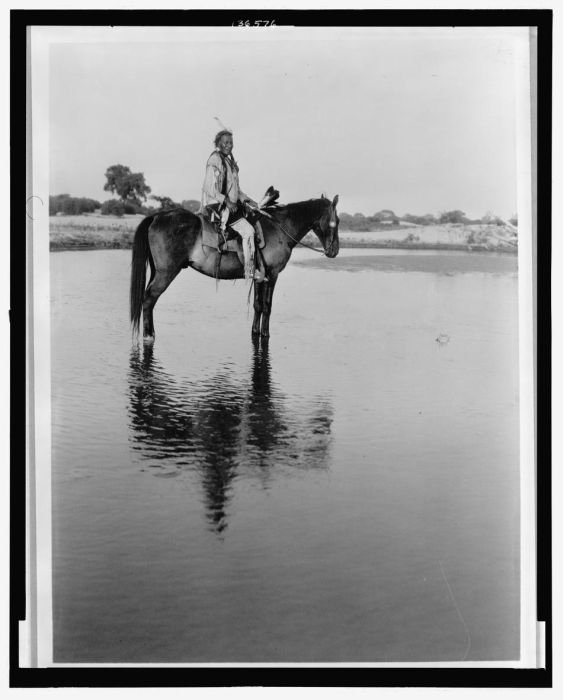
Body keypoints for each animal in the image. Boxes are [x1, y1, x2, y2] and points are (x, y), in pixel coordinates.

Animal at [130, 194, 342, 342]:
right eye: (336, 221)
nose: (334, 251)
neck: (280, 228)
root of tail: (156, 217)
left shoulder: (260, 276)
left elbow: (258, 305)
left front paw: (255, 332)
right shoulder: (272, 275)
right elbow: (267, 306)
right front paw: (266, 334)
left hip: (157, 271)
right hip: (166, 273)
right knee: (149, 299)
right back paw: (149, 335)